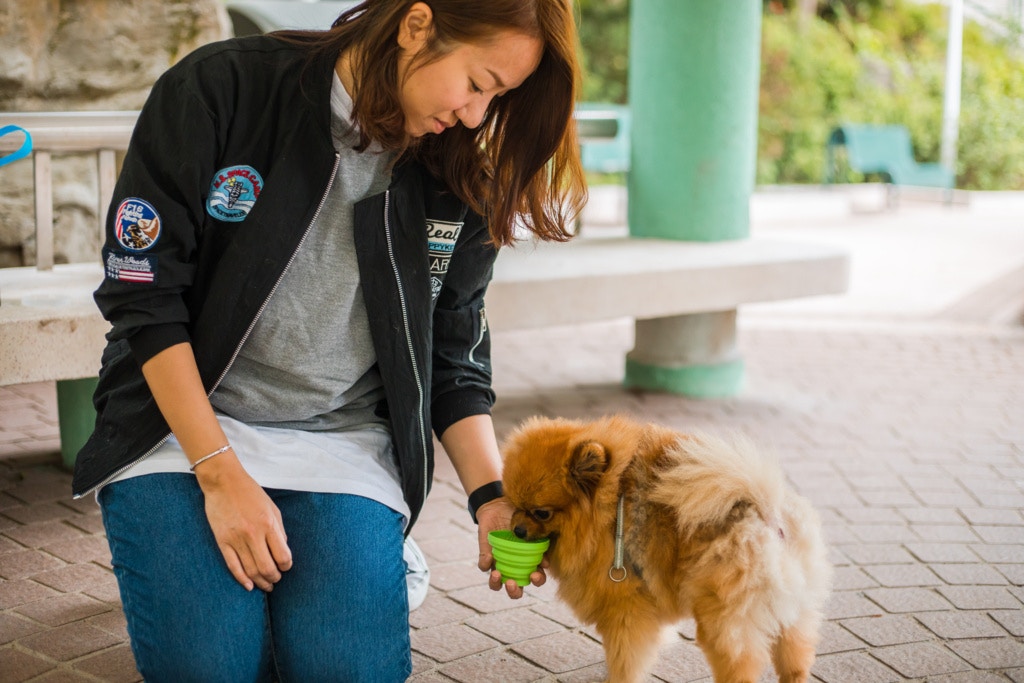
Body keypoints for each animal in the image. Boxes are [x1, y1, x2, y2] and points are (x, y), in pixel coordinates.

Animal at [500, 415, 831, 683]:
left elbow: (625, 659)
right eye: (513, 504)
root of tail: (767, 511)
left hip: (724, 621)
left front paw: (617, 678)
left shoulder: (627, 607)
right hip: (794, 612)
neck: (610, 507)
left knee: (741, 668)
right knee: (796, 661)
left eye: (541, 513)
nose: (517, 530)